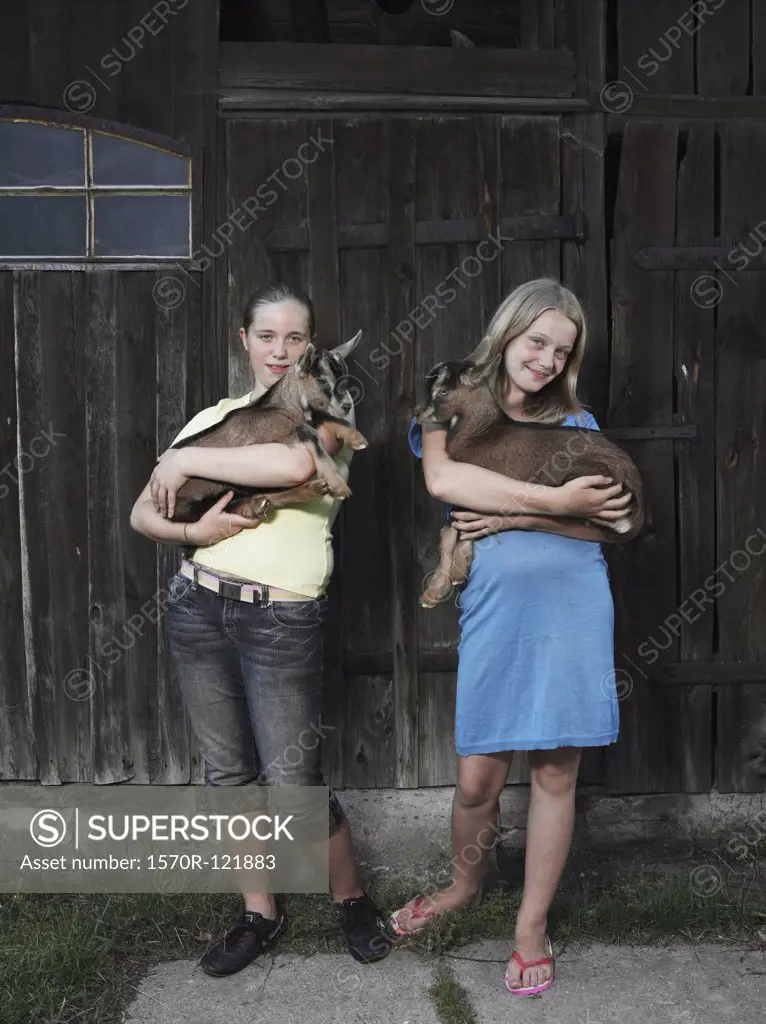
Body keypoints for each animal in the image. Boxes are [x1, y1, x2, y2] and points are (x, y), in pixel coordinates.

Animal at [167, 335, 370, 524]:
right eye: (322, 380)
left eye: (345, 379)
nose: (347, 406)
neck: (286, 406)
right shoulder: (278, 434)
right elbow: (311, 435)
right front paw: (338, 485)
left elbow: (328, 418)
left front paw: (356, 438)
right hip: (194, 504)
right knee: (220, 508)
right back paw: (252, 507)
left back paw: (304, 491)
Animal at [415, 358, 643, 606]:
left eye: (443, 391)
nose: (418, 414)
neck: (480, 433)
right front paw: (453, 576)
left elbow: (450, 528)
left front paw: (435, 591)